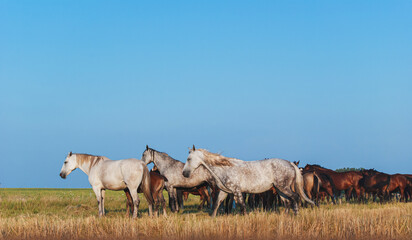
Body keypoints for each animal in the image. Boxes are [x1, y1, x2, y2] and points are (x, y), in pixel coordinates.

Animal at [182, 145, 314, 217]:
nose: (184, 173)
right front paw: (213, 218)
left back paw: (296, 215)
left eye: (189, 159)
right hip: (280, 189)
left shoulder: (237, 191)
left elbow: (242, 206)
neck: (225, 168)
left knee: (295, 197)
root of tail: (290, 163)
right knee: (287, 202)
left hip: (283, 187)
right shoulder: (225, 191)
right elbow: (216, 204)